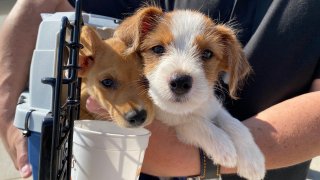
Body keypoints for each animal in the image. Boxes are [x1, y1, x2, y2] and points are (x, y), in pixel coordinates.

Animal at [115, 6, 264, 179]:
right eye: (158, 49)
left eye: (207, 53)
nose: (180, 82)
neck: (186, 108)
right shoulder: (167, 118)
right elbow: (191, 121)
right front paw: (223, 145)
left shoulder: (212, 106)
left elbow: (234, 123)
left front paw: (252, 159)